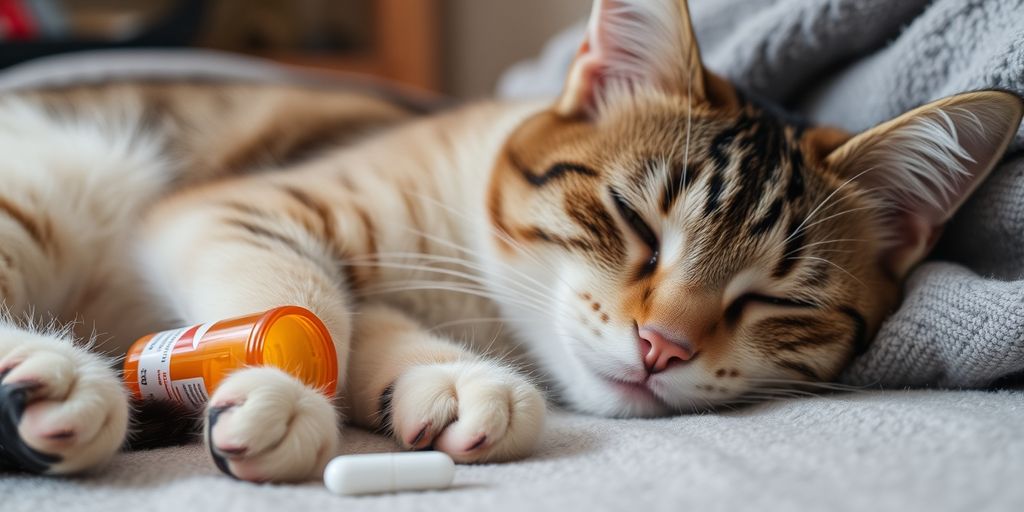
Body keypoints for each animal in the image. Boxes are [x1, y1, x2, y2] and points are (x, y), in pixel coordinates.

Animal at [2, 0, 1024, 483]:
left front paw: (449, 385)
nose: (663, 346)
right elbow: (305, 296)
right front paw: (287, 389)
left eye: (780, 298)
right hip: (55, 185)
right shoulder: (244, 205)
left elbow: (369, 322)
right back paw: (54, 381)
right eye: (635, 222)